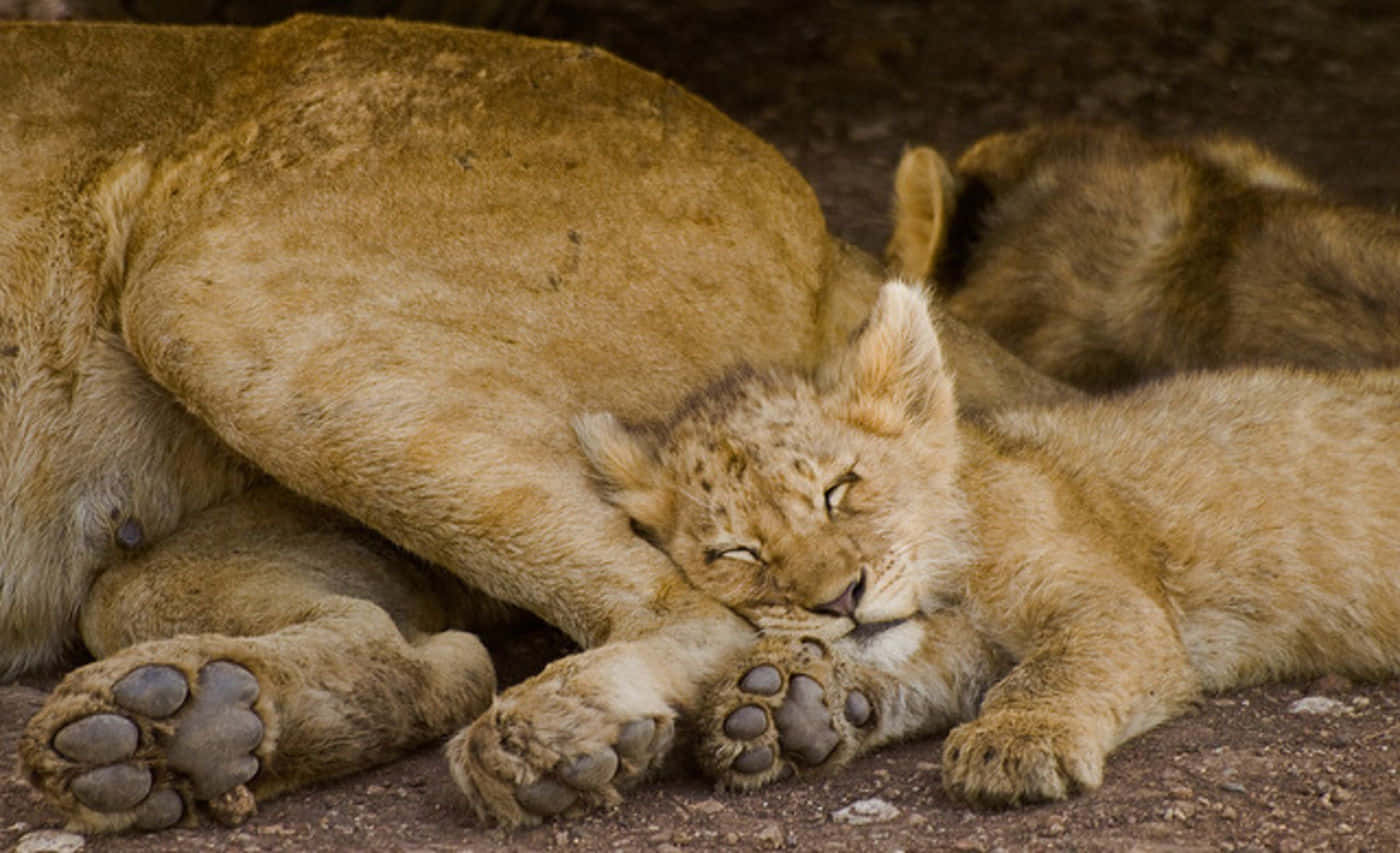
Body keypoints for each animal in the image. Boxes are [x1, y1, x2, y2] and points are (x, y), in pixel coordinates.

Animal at [1, 15, 1071, 833]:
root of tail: (816, 224)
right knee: (435, 652)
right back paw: (174, 733)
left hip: (207, 295)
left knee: (687, 615)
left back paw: (551, 737)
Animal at [575, 281, 1400, 808]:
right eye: (737, 553)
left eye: (839, 487)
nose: (842, 598)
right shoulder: (962, 645)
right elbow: (926, 668)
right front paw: (785, 707)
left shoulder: (1118, 601)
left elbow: (1062, 665)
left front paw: (1016, 742)